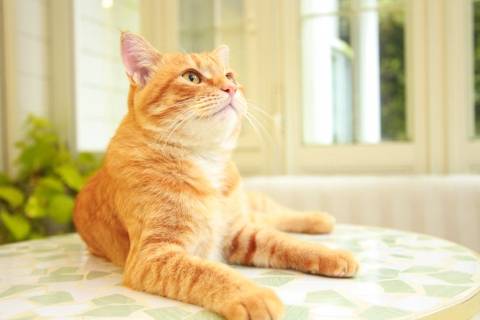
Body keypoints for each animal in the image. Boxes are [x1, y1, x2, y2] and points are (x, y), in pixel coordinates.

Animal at [74, 31, 356, 320]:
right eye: (191, 77)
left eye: (230, 75)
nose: (231, 88)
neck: (204, 159)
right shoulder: (153, 255)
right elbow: (208, 272)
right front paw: (253, 295)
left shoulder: (238, 232)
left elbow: (285, 242)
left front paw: (330, 254)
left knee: (273, 215)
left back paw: (319, 219)